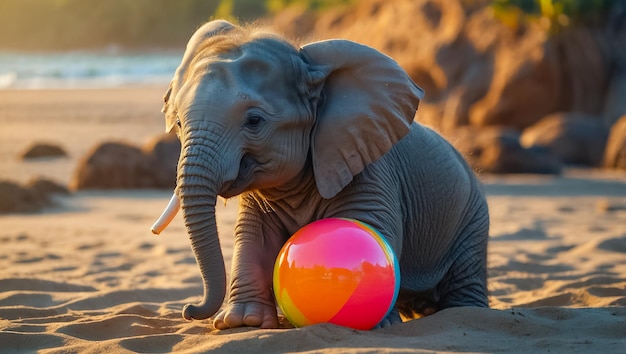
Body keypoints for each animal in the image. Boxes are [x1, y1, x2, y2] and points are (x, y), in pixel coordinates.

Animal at [151, 19, 488, 330]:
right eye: (178, 123)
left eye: (254, 121)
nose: (188, 310)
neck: (309, 66)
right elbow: (253, 237)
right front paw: (244, 322)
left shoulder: (366, 169)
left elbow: (366, 227)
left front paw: (376, 324)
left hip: (472, 216)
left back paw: (464, 313)